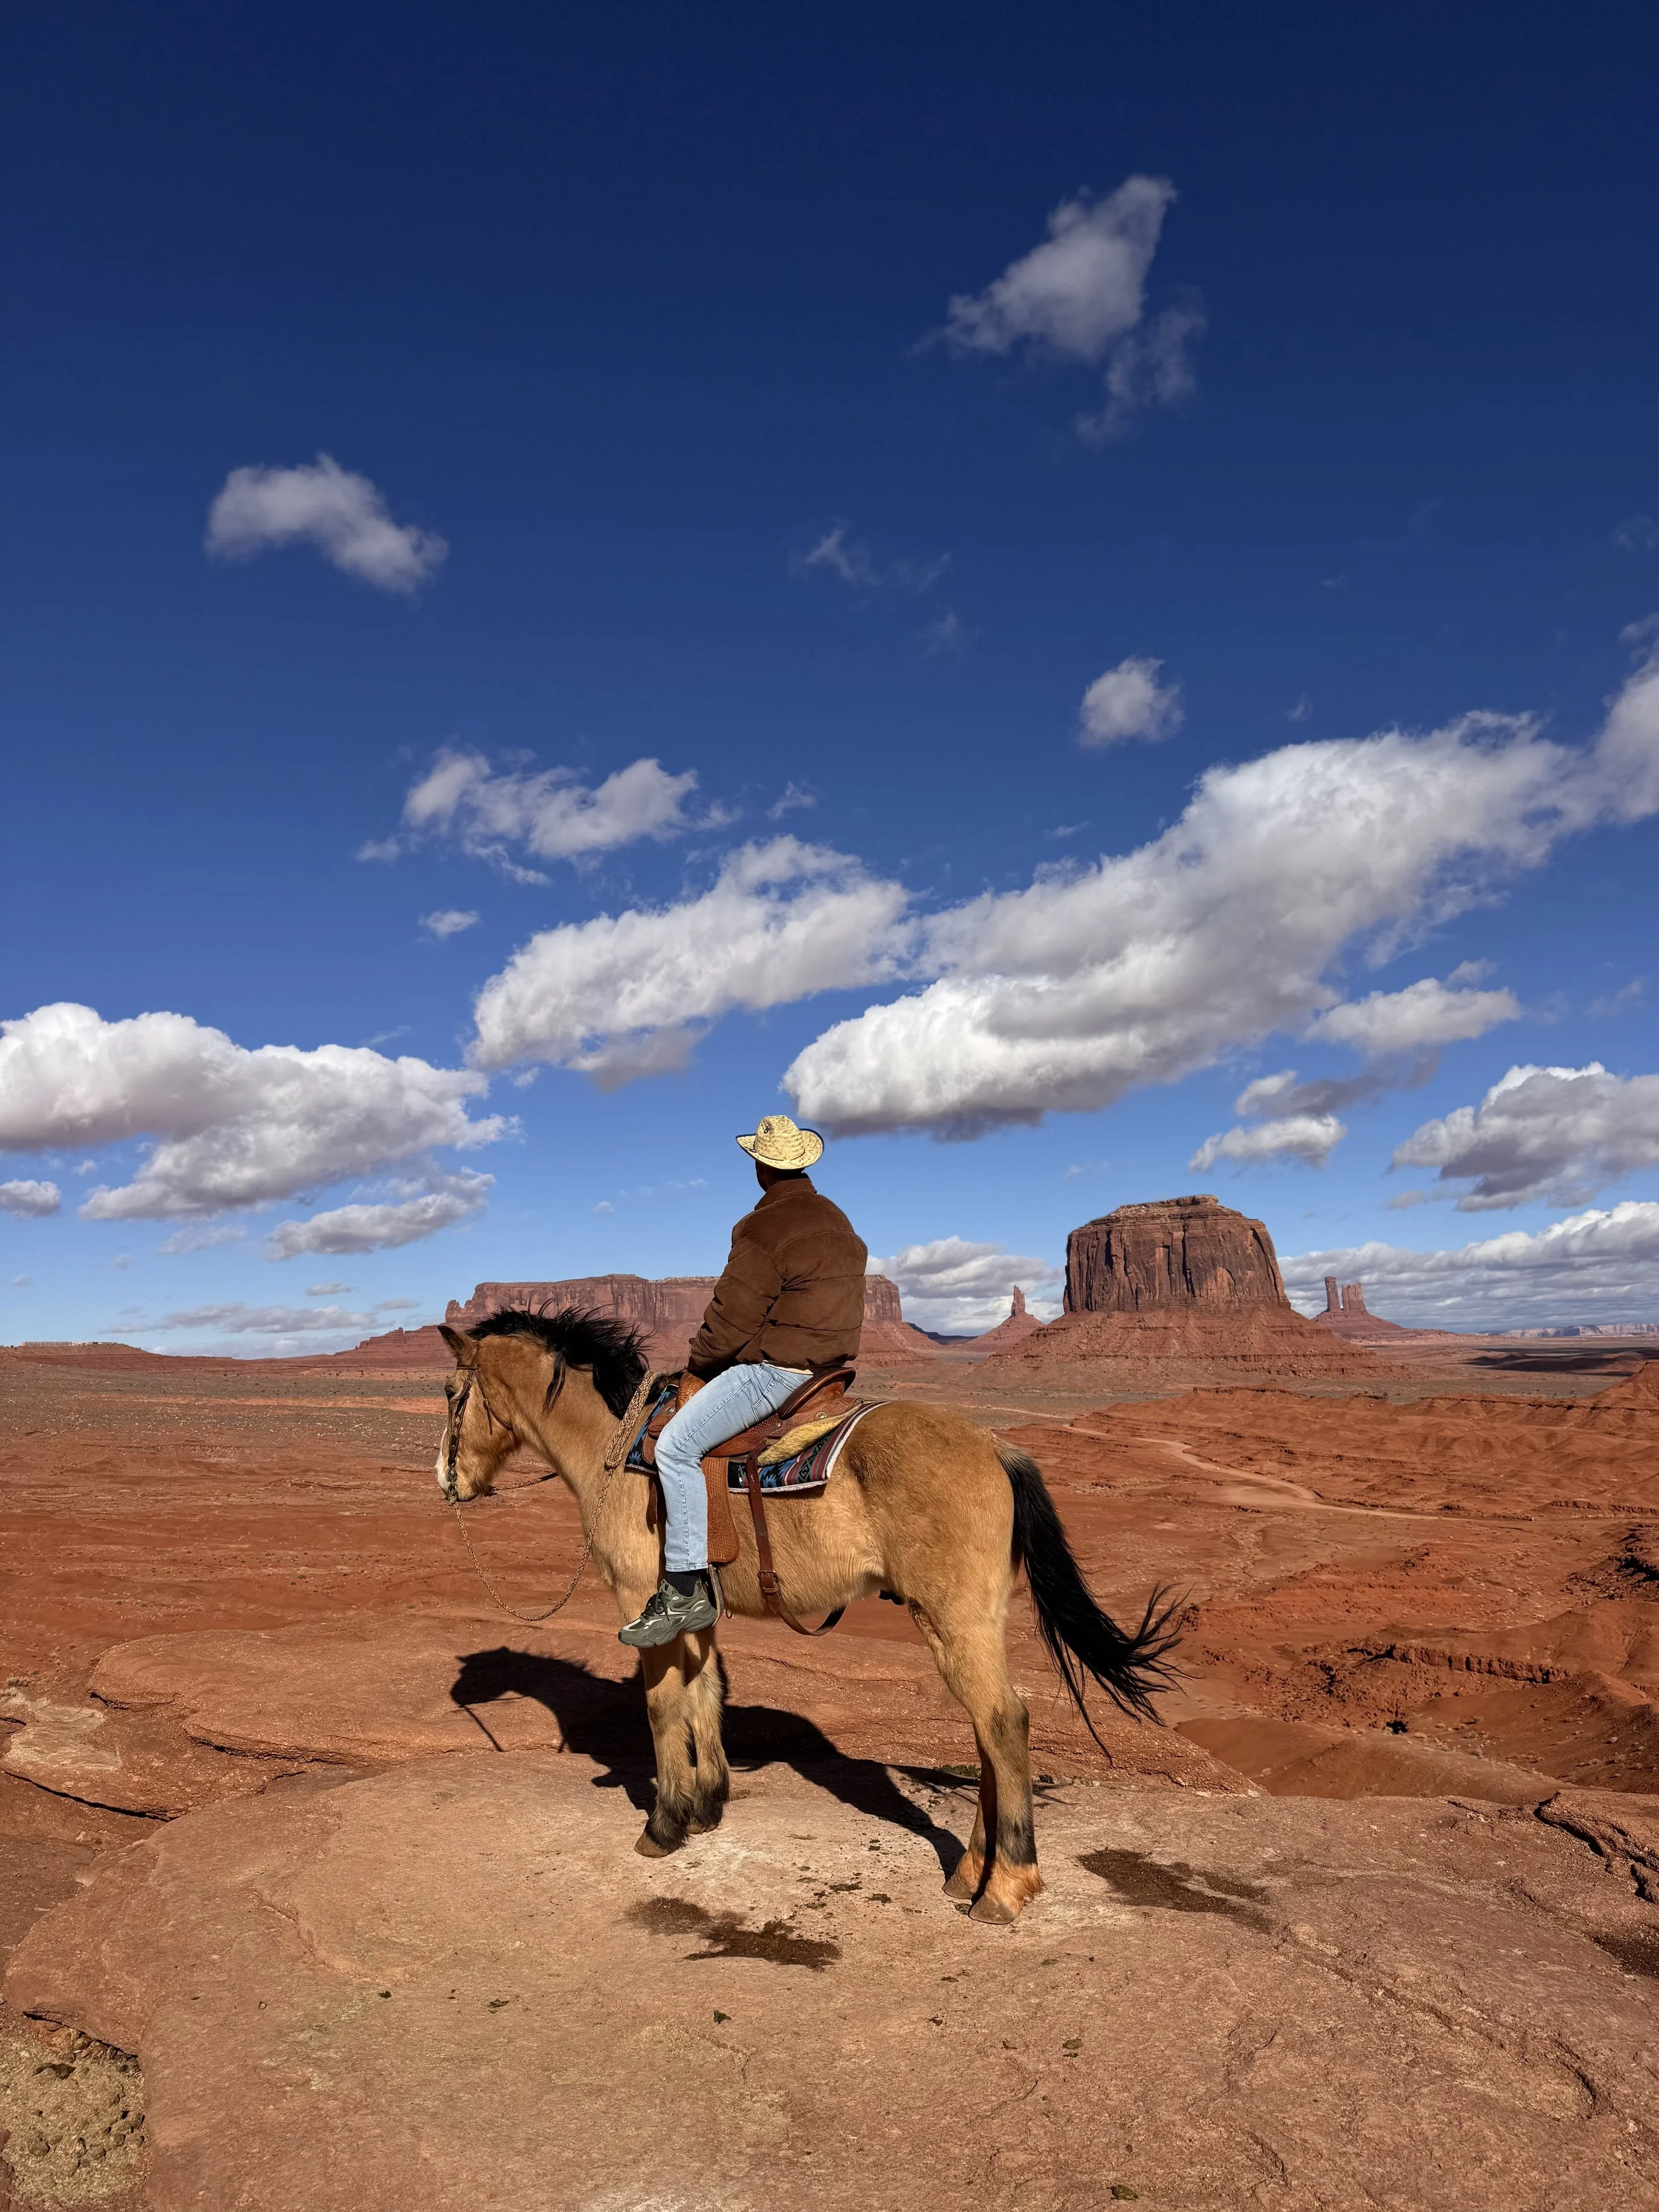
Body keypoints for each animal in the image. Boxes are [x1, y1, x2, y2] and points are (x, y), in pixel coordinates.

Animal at [435, 1305, 1178, 1924]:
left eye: (448, 1393)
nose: (447, 1482)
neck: (617, 1454)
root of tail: (995, 1446)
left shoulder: (642, 1605)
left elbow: (663, 1706)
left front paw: (664, 1824)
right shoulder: (695, 1612)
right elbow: (705, 1695)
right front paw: (707, 1807)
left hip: (952, 1619)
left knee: (1002, 1721)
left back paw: (1004, 1886)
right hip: (972, 1622)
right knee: (987, 1731)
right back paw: (969, 1872)